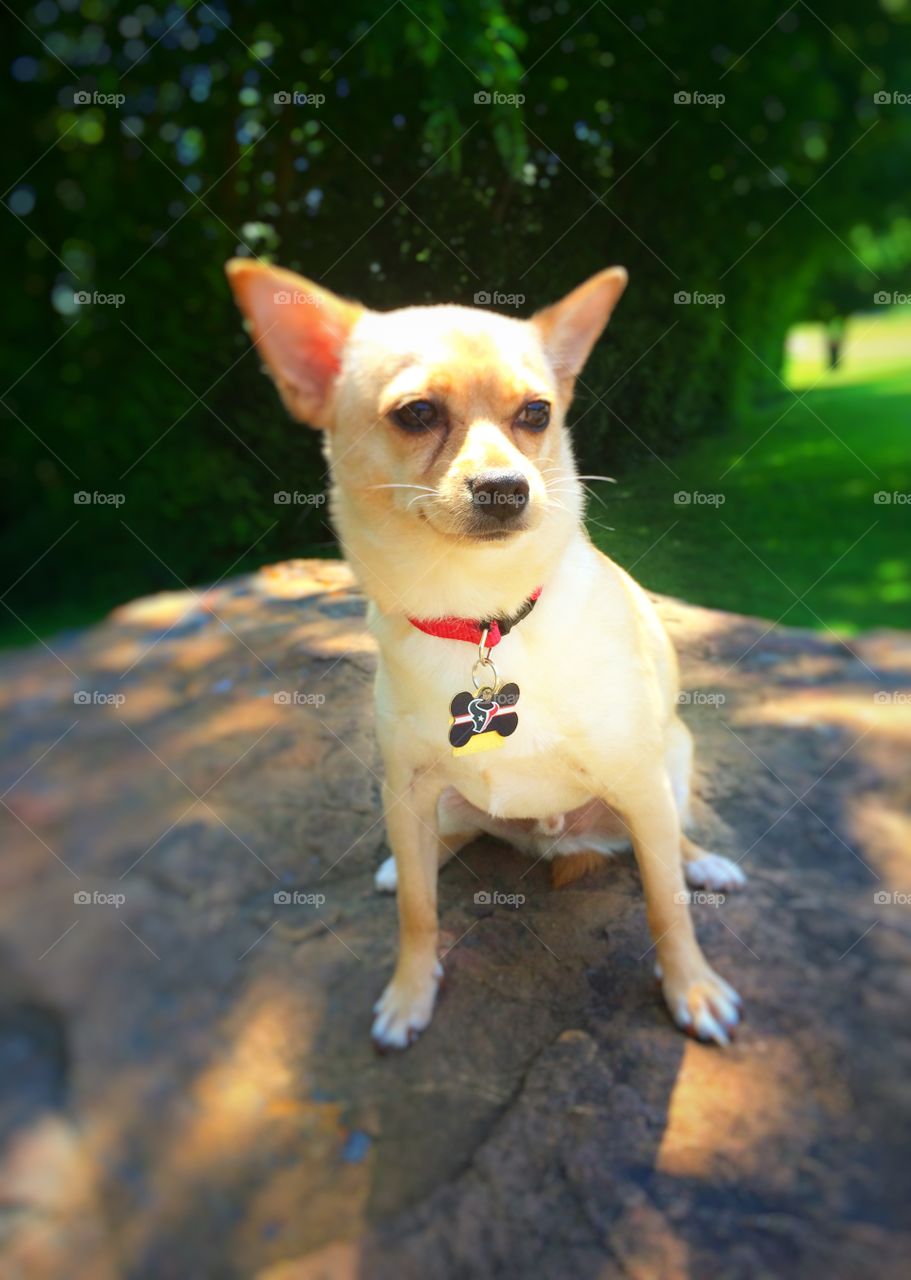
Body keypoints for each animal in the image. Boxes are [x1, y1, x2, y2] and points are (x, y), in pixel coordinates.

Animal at [227, 259, 747, 1049]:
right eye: (416, 413)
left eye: (536, 413)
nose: (505, 486)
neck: (480, 619)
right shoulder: (408, 789)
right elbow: (416, 911)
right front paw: (410, 992)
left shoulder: (639, 780)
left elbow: (666, 903)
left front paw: (691, 987)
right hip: (429, 803)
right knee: (441, 844)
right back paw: (398, 864)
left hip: (670, 764)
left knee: (671, 843)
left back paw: (705, 862)